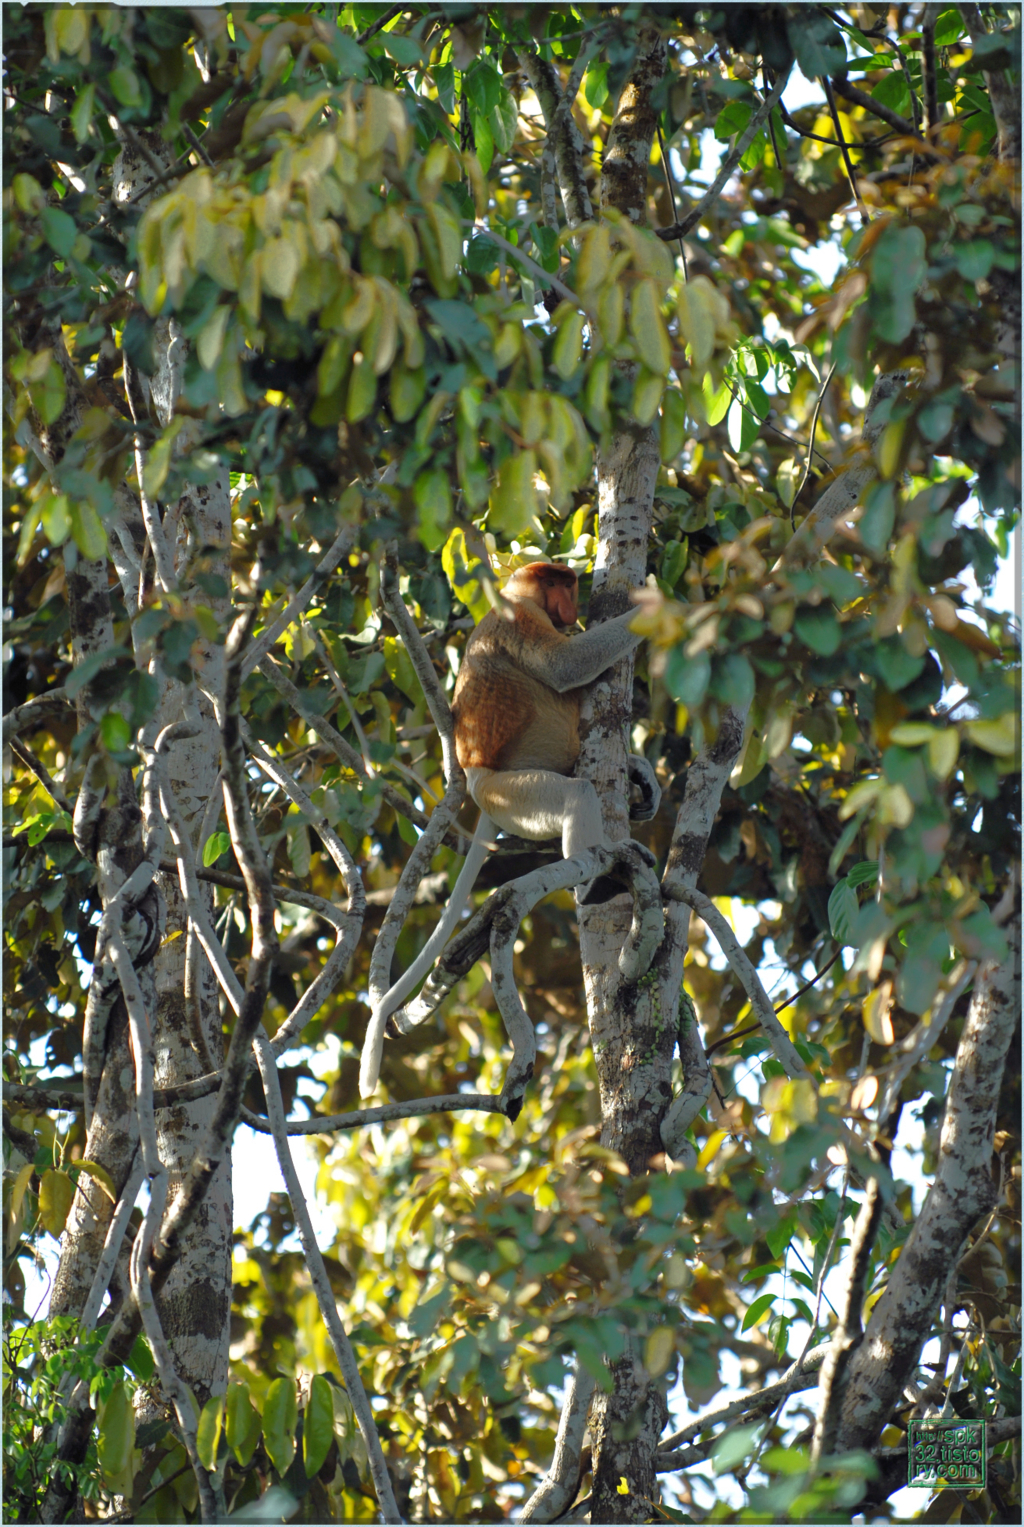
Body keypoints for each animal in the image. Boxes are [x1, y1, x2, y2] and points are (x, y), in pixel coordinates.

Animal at [360, 561, 662, 1099]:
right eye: (559, 582)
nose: (571, 601)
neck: (519, 596)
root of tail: (477, 778)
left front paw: (643, 776)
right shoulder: (519, 619)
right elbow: (567, 664)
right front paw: (656, 598)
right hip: (510, 793)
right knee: (576, 793)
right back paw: (596, 882)